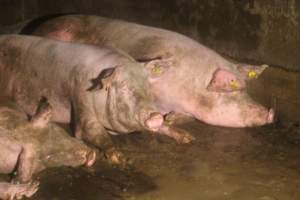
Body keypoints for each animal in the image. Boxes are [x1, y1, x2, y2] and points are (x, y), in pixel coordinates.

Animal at [0, 34, 192, 164]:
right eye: (123, 87)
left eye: (148, 84)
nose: (155, 115)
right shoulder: (80, 99)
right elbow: (91, 130)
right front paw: (120, 158)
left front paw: (188, 138)